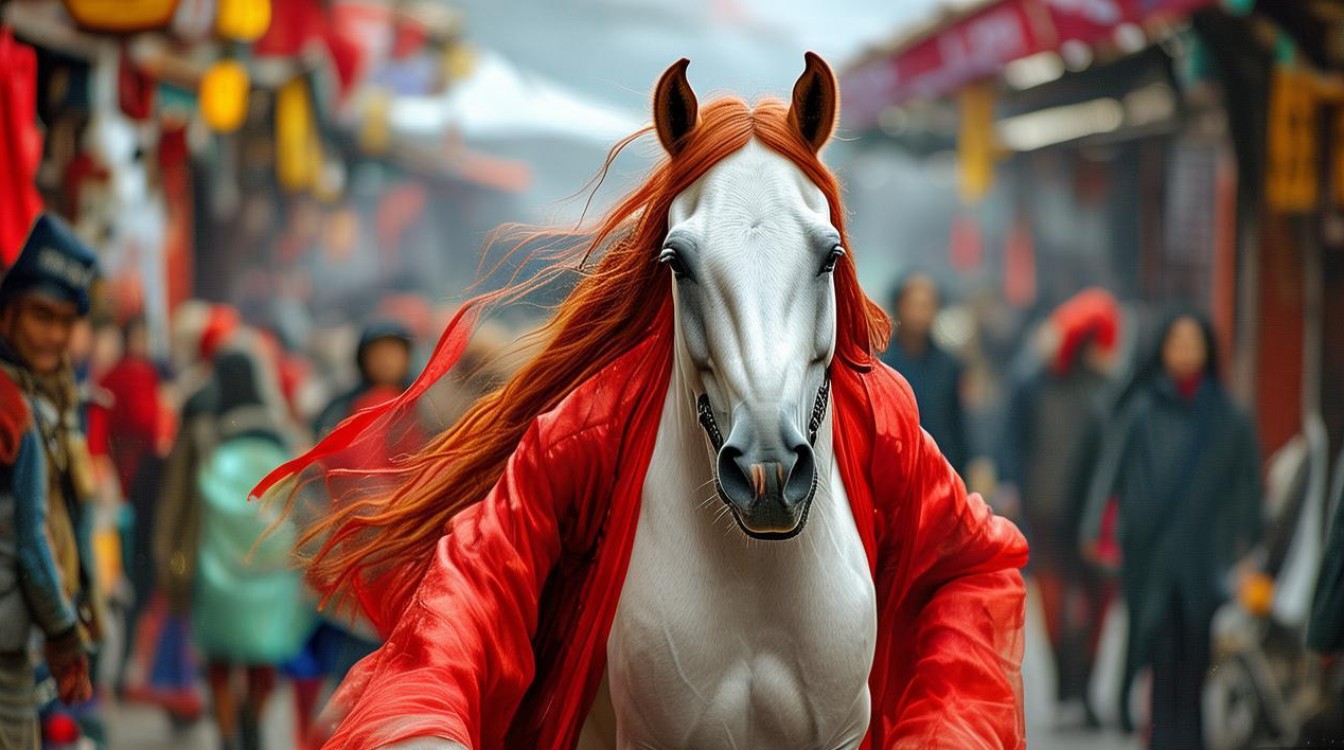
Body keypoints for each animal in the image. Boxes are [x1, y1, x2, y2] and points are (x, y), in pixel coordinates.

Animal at [256, 53, 1028, 750]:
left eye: (829, 255)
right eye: (677, 260)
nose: (767, 471)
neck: (758, 578)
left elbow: (972, 563)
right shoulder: (559, 451)